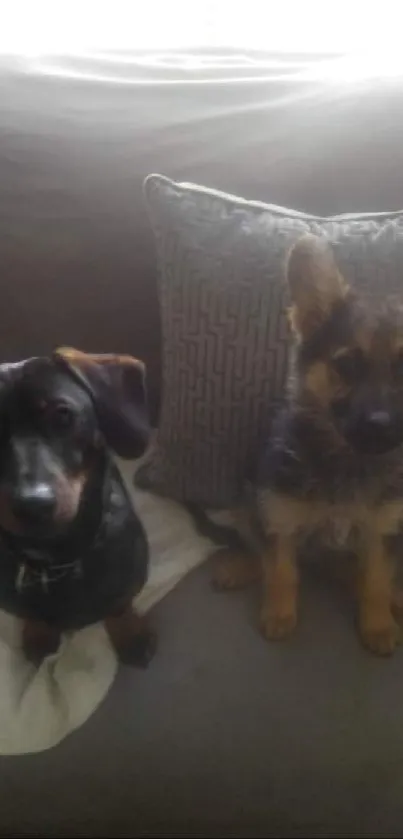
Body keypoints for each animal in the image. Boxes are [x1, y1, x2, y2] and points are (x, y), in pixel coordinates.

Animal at [215, 235, 403, 656]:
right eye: (347, 365)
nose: (381, 426)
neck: (348, 460)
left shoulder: (380, 532)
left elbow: (377, 580)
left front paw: (378, 622)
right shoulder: (279, 516)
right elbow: (281, 569)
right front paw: (280, 612)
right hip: (250, 496)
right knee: (255, 542)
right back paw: (242, 566)